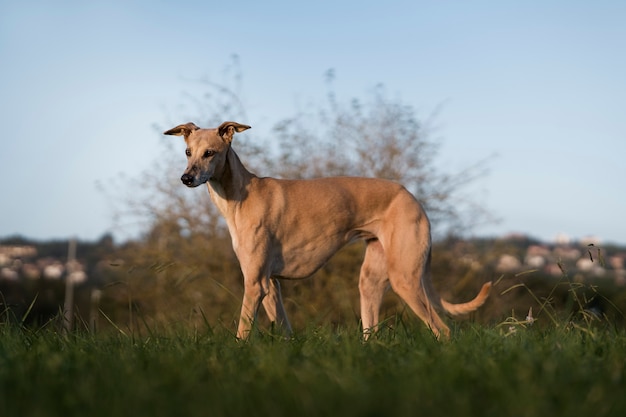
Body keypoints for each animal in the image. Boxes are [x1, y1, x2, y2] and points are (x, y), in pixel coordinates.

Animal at [163, 120, 490, 338]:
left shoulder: (255, 283)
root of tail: (411, 197)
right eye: (187, 152)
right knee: (372, 332)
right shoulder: (270, 285)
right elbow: (285, 331)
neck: (240, 194)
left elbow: (243, 332)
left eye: (210, 153)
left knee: (443, 330)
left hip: (406, 278)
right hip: (371, 281)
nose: (186, 178)